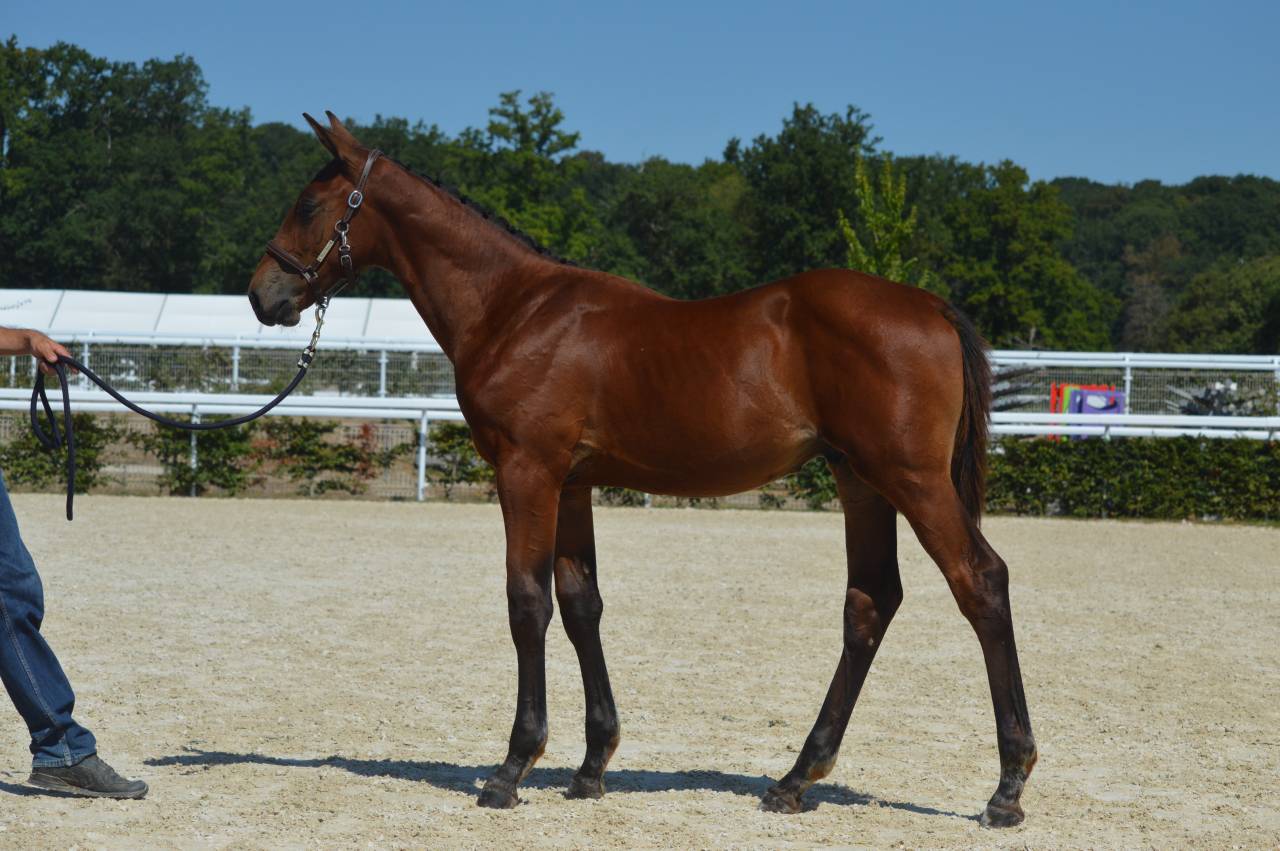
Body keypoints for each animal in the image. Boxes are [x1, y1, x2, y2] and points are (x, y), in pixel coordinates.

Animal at [247, 112, 1037, 827]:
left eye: (309, 205)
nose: (263, 295)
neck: (514, 309)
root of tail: (931, 305)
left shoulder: (528, 472)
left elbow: (527, 602)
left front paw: (512, 767)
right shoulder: (572, 483)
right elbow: (581, 603)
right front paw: (591, 766)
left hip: (912, 480)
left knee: (981, 582)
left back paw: (1007, 787)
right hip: (860, 481)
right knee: (871, 601)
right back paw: (794, 779)